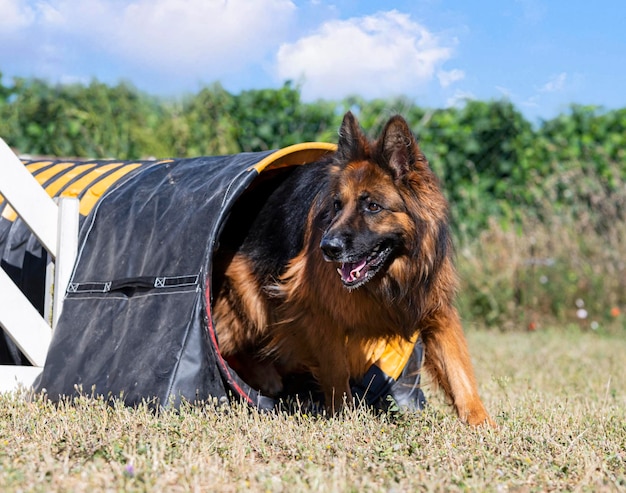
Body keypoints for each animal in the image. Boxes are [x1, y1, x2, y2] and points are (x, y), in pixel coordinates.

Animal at [213, 110, 492, 422]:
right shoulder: (318, 313)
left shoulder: (436, 310)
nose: (327, 248)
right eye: (336, 205)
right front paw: (343, 415)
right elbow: (336, 371)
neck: (392, 274)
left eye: (373, 207)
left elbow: (459, 373)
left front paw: (481, 422)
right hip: (249, 307)